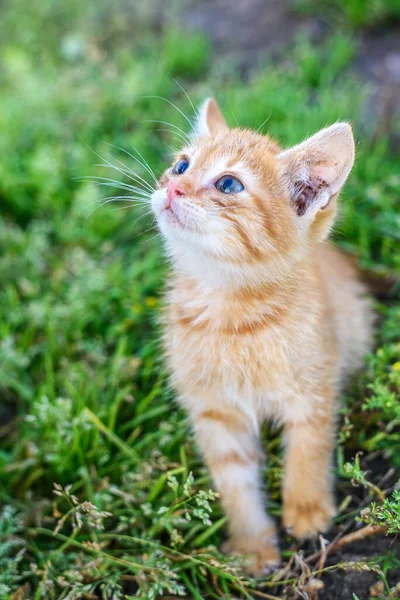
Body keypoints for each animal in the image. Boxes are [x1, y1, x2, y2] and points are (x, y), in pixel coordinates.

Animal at [151, 99, 376, 576]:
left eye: (228, 183)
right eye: (181, 165)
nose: (173, 188)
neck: (230, 318)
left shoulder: (314, 387)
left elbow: (308, 447)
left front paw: (307, 508)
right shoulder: (215, 411)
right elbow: (234, 480)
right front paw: (253, 543)